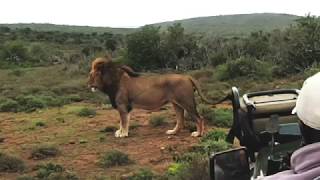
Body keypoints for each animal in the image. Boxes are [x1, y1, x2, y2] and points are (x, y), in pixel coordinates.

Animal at [87, 56, 222, 138]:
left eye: (92, 75)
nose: (88, 85)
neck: (112, 81)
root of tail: (187, 76)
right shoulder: (126, 107)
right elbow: (123, 121)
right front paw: (121, 132)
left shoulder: (122, 105)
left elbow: (123, 121)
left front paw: (123, 134)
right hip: (176, 104)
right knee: (180, 120)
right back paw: (173, 132)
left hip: (187, 102)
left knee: (199, 118)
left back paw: (198, 134)